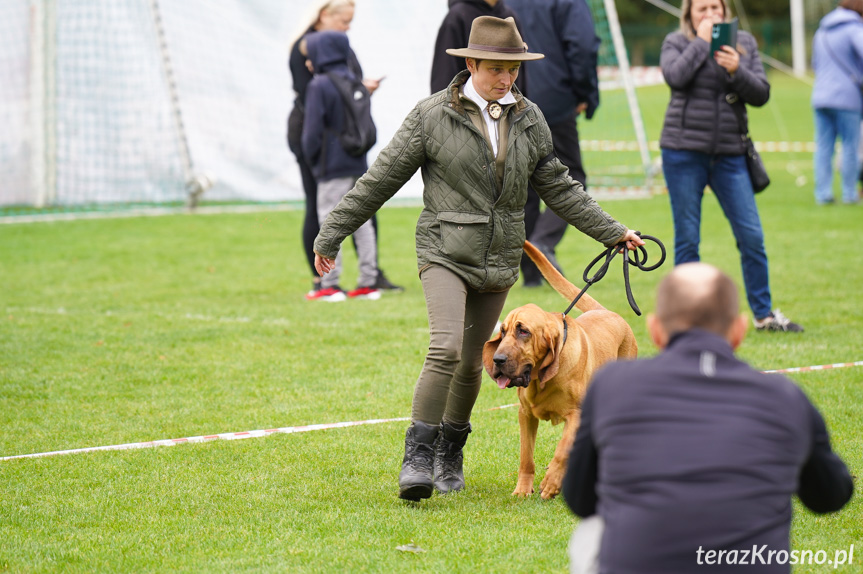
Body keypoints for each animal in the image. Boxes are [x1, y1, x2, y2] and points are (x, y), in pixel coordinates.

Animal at [482, 241, 636, 502]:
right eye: (502, 331)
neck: (541, 379)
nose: (498, 359)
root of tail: (608, 312)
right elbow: (526, 457)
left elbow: (563, 449)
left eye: (523, 331)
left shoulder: (577, 415)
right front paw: (523, 489)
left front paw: (551, 483)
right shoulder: (525, 414)